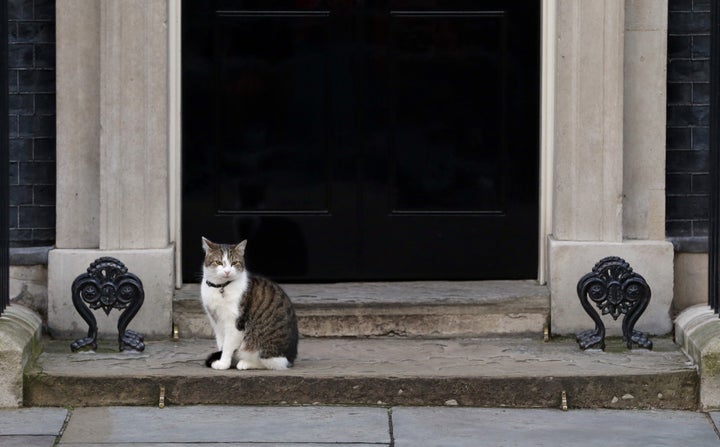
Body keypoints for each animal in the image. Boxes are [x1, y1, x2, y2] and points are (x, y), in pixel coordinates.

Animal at [200, 238, 298, 372]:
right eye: (218, 262)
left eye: (234, 263)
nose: (227, 271)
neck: (221, 287)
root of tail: (291, 358)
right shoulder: (216, 323)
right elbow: (221, 344)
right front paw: (222, 360)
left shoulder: (234, 324)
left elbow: (227, 346)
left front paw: (223, 363)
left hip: (264, 347)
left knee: (272, 363)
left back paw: (245, 363)